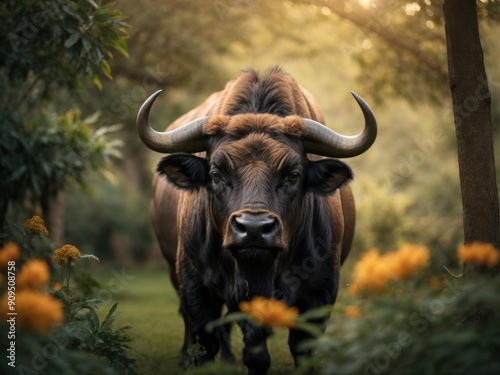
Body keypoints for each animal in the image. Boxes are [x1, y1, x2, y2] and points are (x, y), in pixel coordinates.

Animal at [137, 66, 376, 374]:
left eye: (293, 175)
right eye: (216, 174)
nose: (253, 229)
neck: (260, 270)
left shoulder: (319, 292)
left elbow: (299, 350)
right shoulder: (196, 286)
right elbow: (214, 343)